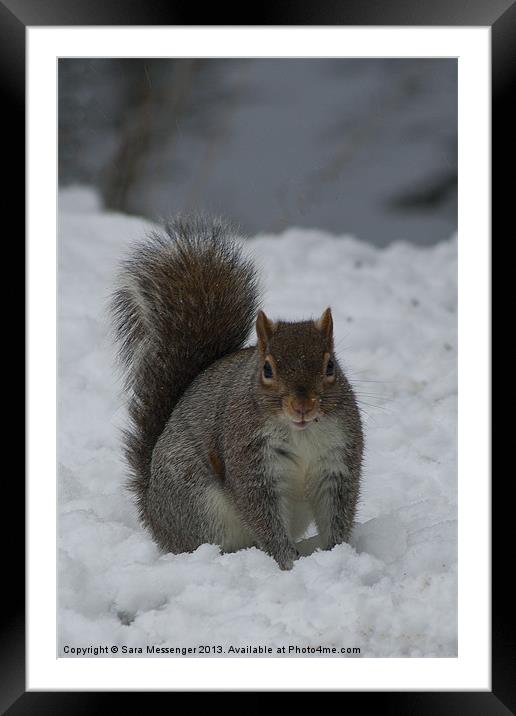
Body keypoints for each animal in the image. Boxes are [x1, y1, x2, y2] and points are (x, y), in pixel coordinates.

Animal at [112, 217, 362, 572]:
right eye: (267, 369)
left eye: (330, 366)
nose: (302, 405)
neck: (300, 432)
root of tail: (153, 513)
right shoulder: (249, 460)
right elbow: (262, 516)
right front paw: (288, 562)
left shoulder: (337, 460)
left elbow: (337, 512)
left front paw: (337, 554)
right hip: (201, 507)